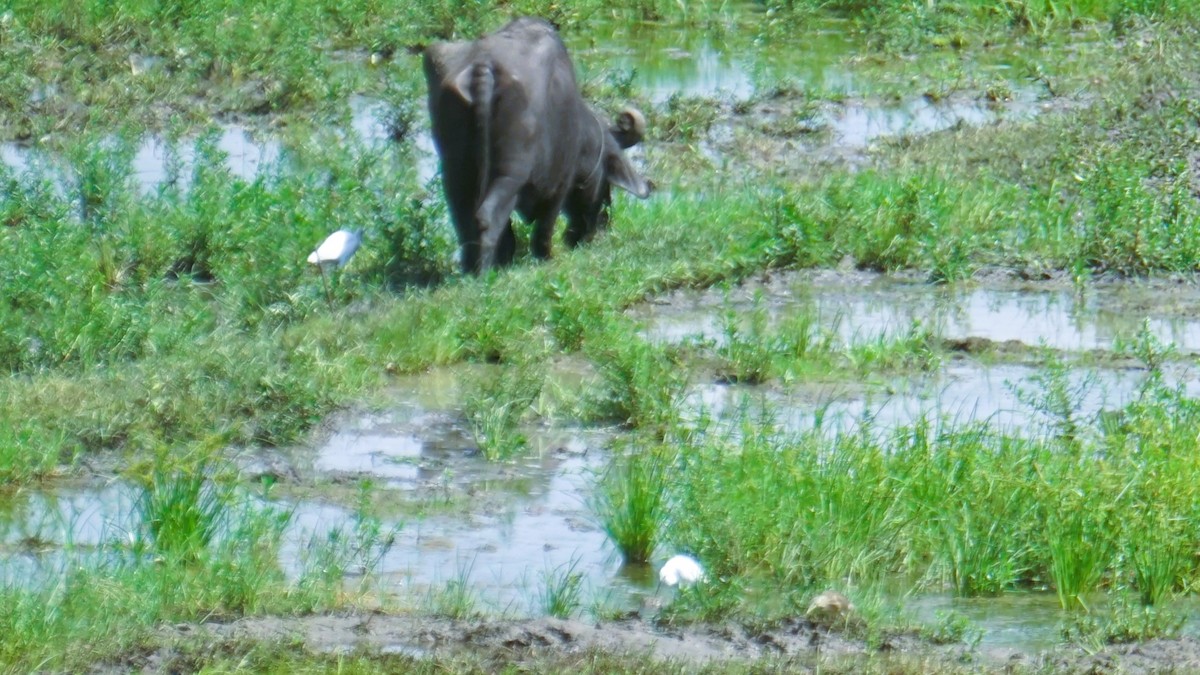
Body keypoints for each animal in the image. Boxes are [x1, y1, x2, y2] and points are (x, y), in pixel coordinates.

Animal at [422, 19, 648, 270]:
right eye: (605, 182)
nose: (600, 224)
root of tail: (483, 67)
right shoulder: (560, 183)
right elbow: (545, 228)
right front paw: (546, 257)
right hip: (510, 173)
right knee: (486, 217)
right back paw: (482, 271)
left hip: (456, 172)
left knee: (464, 219)